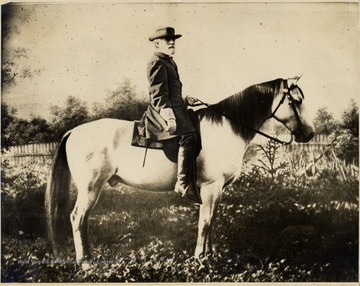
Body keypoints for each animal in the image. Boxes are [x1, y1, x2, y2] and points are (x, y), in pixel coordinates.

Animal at [45, 76, 316, 268]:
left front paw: (210, 255)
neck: (227, 127)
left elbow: (211, 220)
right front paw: (200, 259)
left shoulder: (216, 191)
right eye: (296, 101)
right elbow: (205, 223)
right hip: (90, 188)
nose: (310, 133)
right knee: (78, 218)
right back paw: (85, 263)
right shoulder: (210, 187)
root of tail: (74, 131)